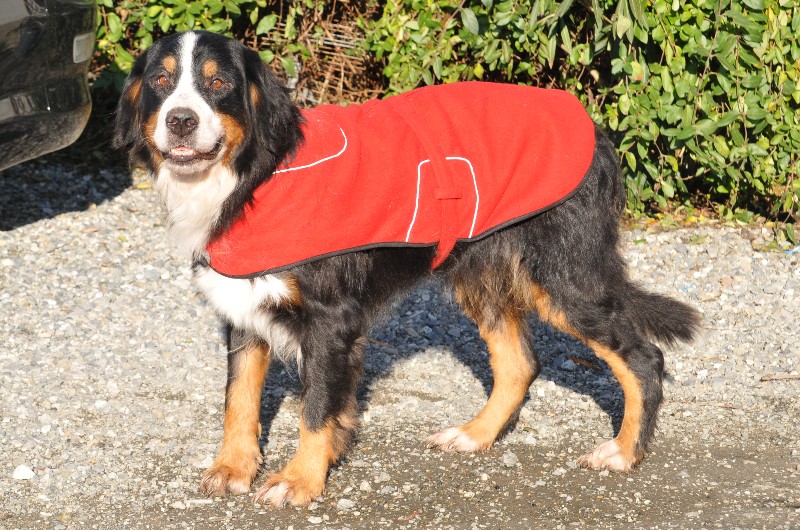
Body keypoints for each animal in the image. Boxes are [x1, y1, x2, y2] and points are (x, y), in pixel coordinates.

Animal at [114, 29, 700, 508]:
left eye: (219, 84)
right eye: (161, 81)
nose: (181, 120)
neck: (254, 177)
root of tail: (592, 126)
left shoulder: (330, 319)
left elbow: (314, 408)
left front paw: (299, 480)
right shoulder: (242, 304)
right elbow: (239, 400)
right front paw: (233, 468)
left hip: (564, 279)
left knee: (643, 358)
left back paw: (623, 451)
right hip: (482, 274)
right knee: (519, 364)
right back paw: (474, 435)